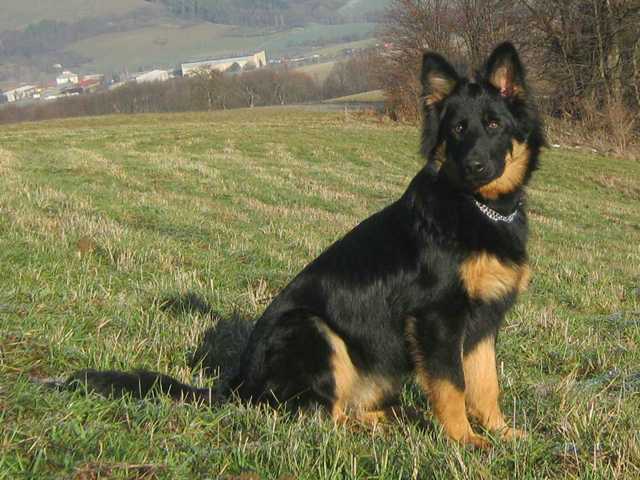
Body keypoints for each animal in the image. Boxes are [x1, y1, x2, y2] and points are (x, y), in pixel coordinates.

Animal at [65, 42, 544, 449]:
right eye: (458, 129)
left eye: (494, 125)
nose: (475, 166)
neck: (477, 207)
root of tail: (238, 386)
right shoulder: (437, 320)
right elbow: (451, 387)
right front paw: (465, 441)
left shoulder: (482, 325)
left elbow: (485, 385)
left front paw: (502, 433)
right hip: (314, 330)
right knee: (321, 414)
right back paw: (381, 426)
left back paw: (388, 418)